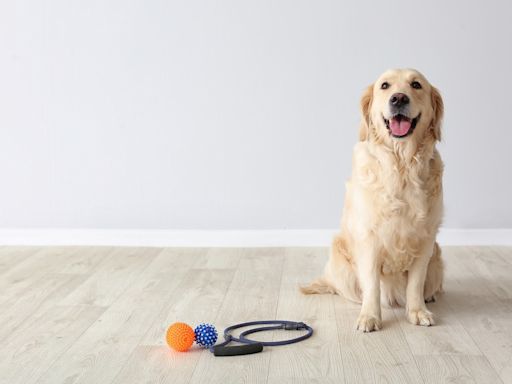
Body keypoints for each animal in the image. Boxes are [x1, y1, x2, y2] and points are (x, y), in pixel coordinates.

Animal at [302, 70, 442, 332]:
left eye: (416, 84)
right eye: (384, 86)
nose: (399, 98)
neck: (401, 165)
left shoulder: (425, 239)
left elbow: (415, 284)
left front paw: (417, 312)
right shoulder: (368, 238)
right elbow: (372, 285)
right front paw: (369, 316)